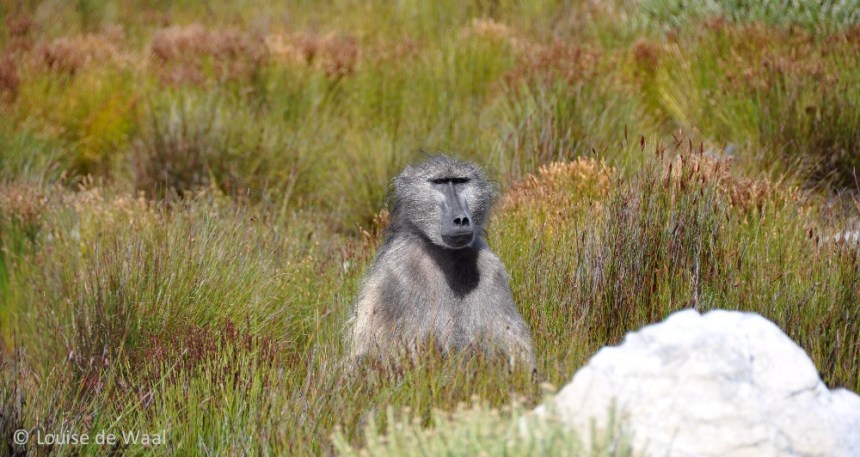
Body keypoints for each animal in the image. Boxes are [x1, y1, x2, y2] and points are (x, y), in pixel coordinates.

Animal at [347, 155, 535, 370]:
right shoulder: (397, 272)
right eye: (440, 182)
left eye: (461, 181)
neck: (445, 255)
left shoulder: (491, 270)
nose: (461, 219)